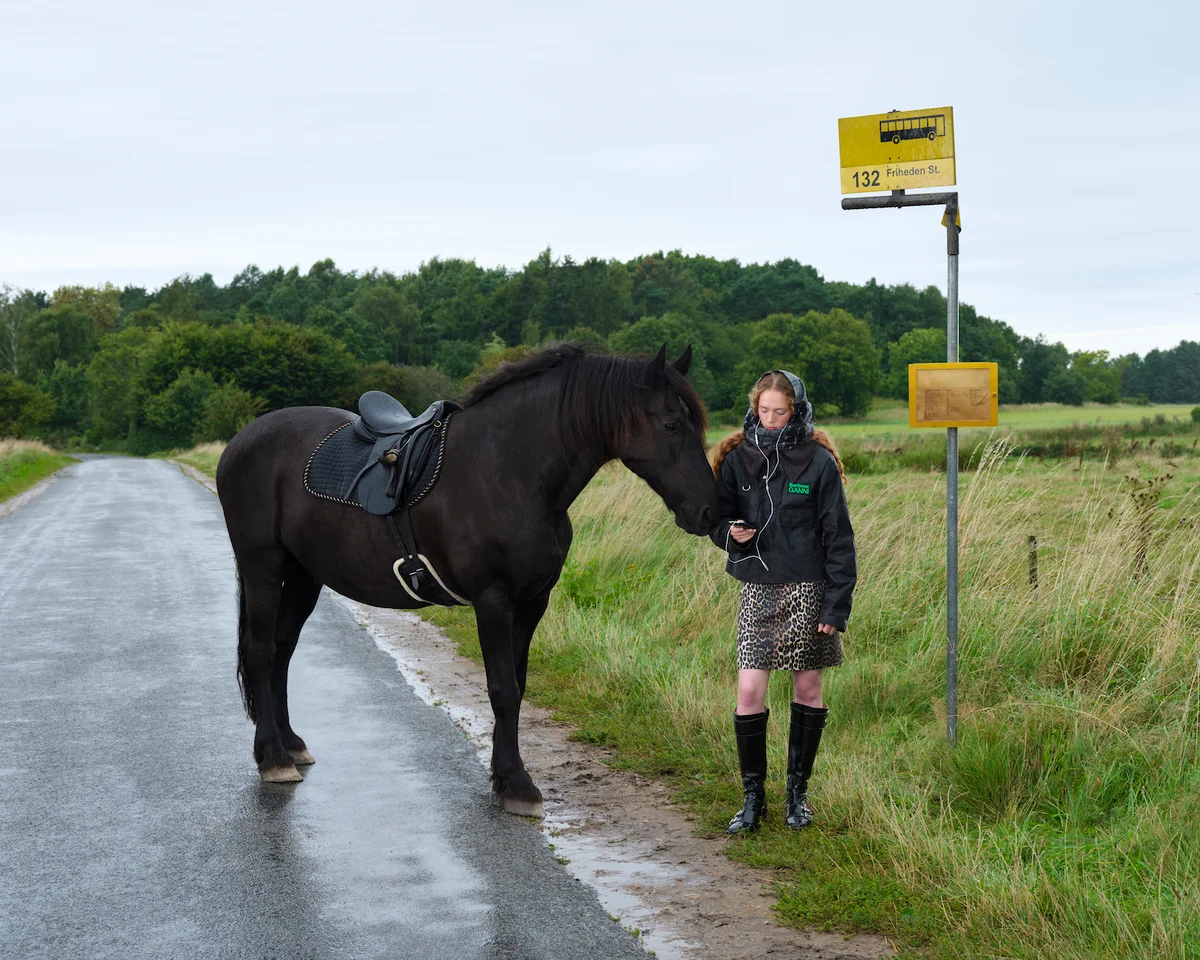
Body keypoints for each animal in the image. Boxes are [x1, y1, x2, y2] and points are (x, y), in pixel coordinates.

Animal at [217, 345, 715, 816]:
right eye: (672, 424)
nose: (711, 512)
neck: (508, 470)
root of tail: (241, 441)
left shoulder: (533, 602)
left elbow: (518, 684)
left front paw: (502, 775)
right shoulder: (493, 600)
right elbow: (503, 689)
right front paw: (517, 784)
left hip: (304, 575)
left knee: (282, 649)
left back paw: (291, 744)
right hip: (263, 566)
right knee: (261, 651)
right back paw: (273, 758)